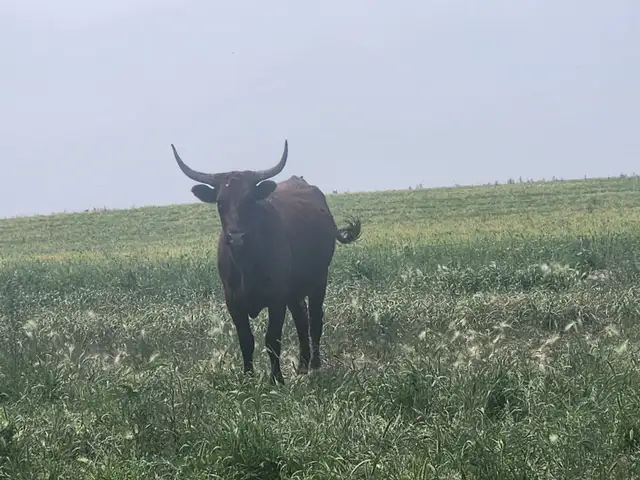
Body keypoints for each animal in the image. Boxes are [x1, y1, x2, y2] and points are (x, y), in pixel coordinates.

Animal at [170, 139, 362, 384]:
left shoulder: (276, 298)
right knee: (302, 320)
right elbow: (246, 340)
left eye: (249, 200)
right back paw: (302, 365)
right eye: (220, 202)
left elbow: (272, 339)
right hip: (294, 291)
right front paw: (248, 378)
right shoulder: (233, 301)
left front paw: (276, 379)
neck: (247, 265)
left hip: (319, 279)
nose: (236, 236)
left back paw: (315, 364)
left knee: (315, 320)